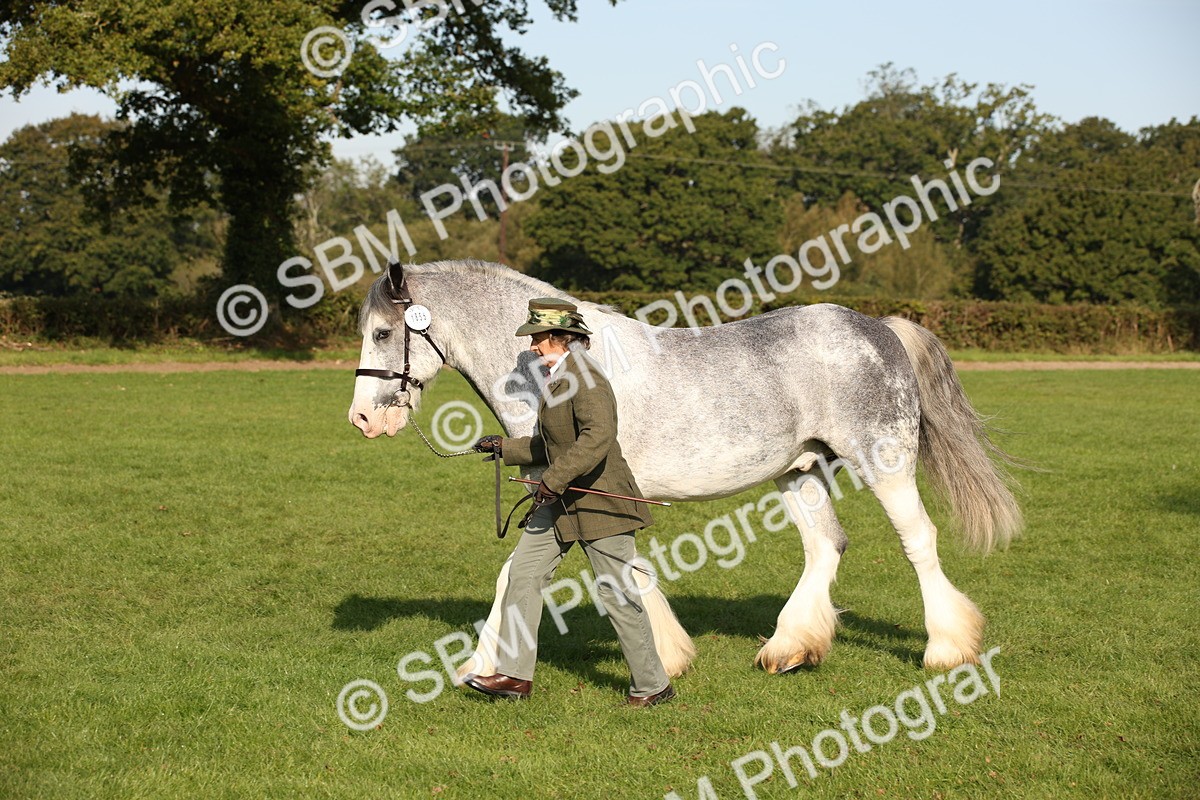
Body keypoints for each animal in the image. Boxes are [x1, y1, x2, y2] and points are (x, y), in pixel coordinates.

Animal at [348, 259, 1022, 679]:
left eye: (382, 333)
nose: (361, 419)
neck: (554, 371)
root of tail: (880, 326)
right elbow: (619, 570)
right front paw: (668, 654)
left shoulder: (565, 494)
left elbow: (522, 574)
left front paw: (479, 666)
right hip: (799, 470)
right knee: (826, 545)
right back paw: (789, 647)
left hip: (884, 462)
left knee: (918, 541)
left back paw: (946, 650)